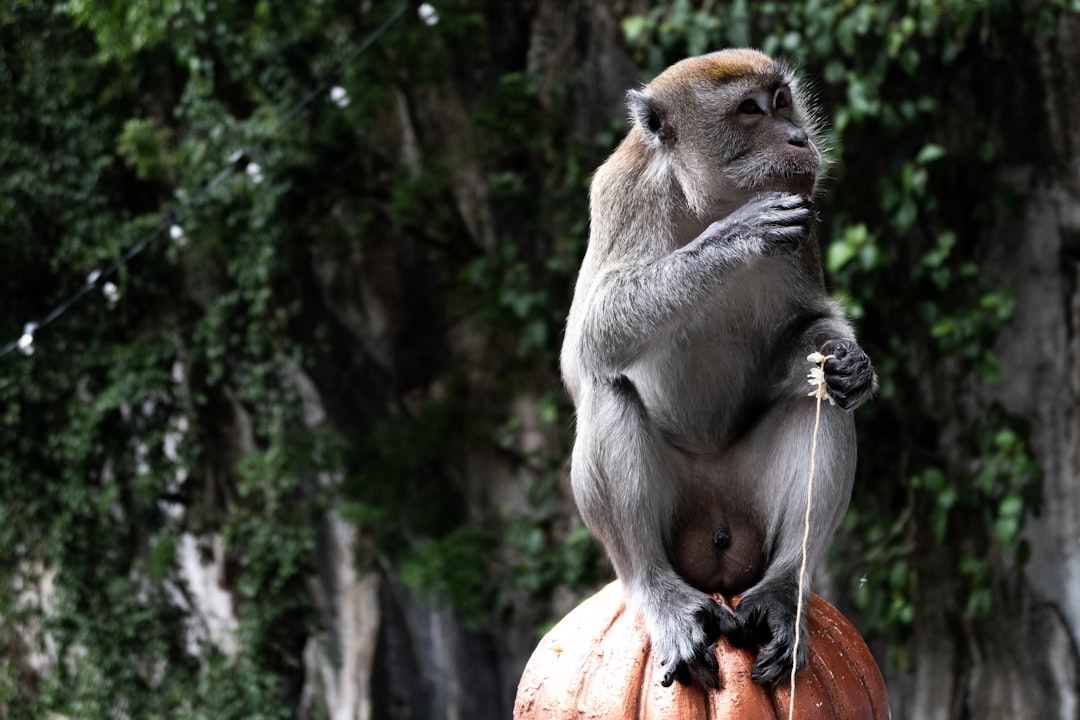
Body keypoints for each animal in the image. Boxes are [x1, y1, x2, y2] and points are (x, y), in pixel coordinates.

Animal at [561, 47, 881, 690]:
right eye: (750, 111)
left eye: (781, 101)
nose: (797, 137)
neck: (704, 201)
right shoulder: (623, 197)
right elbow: (587, 342)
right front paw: (735, 237)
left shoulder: (804, 218)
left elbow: (811, 324)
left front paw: (854, 364)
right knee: (609, 388)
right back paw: (661, 595)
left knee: (818, 399)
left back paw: (784, 590)